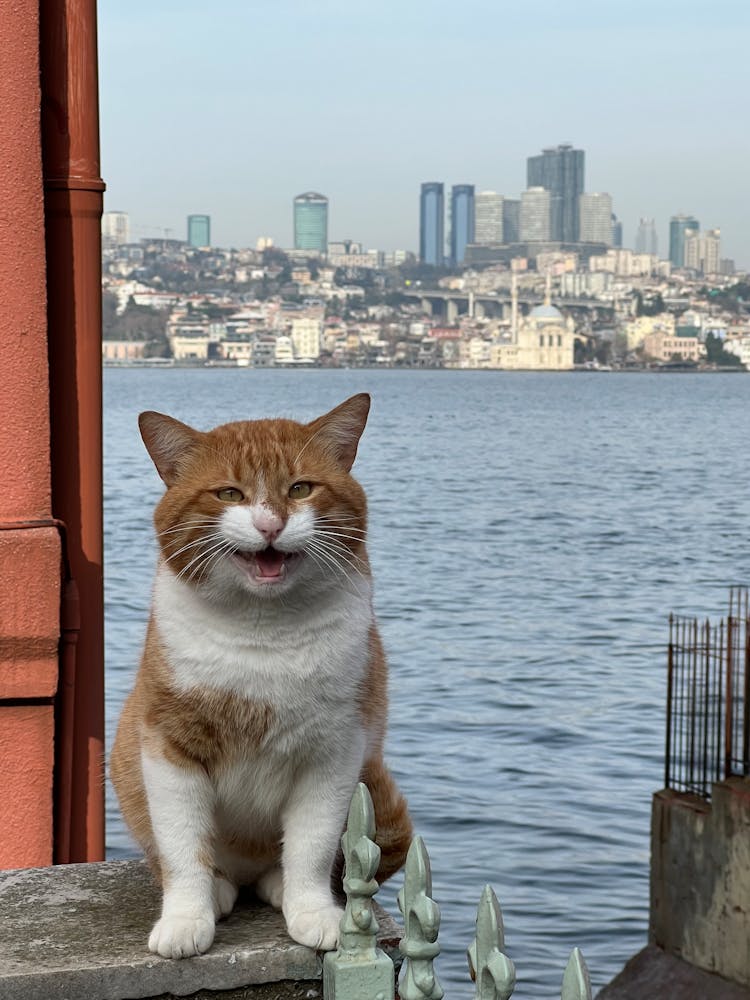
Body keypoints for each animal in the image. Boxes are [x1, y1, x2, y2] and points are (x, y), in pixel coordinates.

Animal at [110, 392, 412, 960]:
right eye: (229, 493)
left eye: (300, 488)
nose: (270, 525)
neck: (263, 634)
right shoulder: (166, 745)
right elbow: (182, 847)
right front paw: (186, 919)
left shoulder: (335, 752)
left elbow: (313, 845)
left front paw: (313, 912)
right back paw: (219, 890)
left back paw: (276, 885)